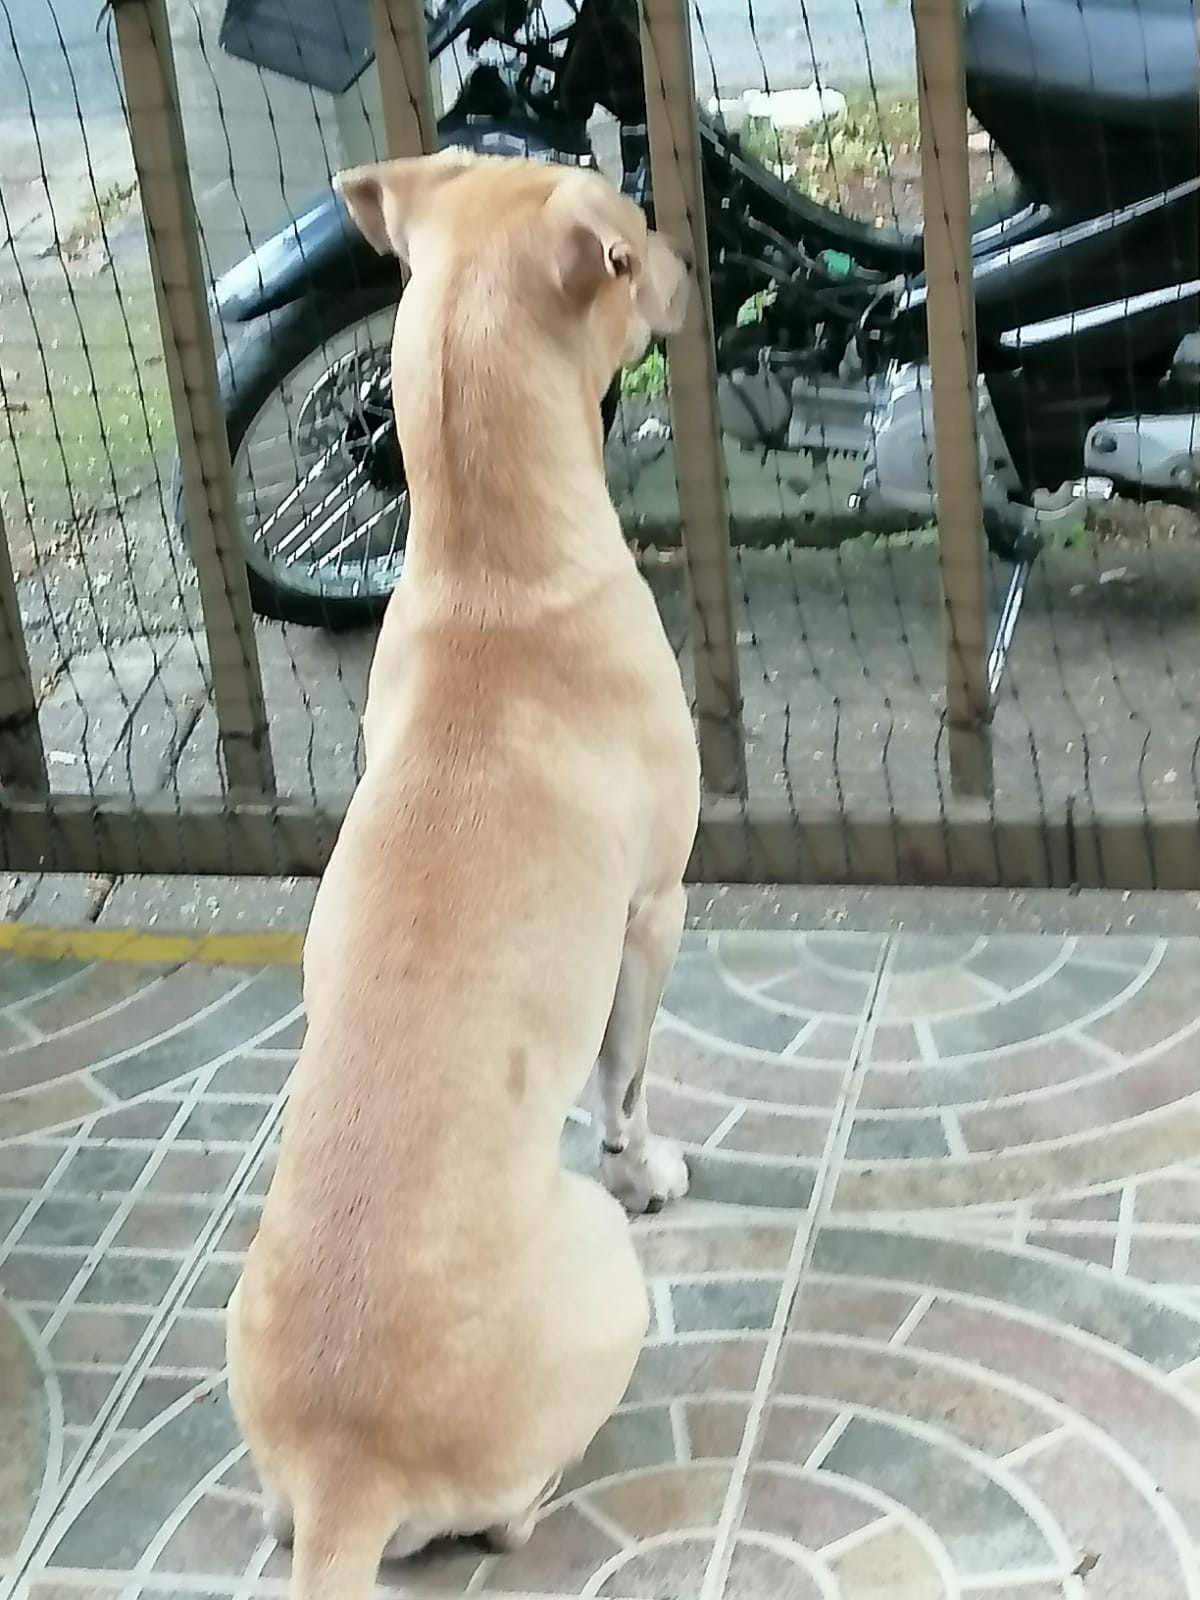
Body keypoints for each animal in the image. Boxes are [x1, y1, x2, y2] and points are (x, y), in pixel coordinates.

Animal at [226, 150, 700, 1600]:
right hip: (603, 1279)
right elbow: (626, 1077)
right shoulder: (653, 911)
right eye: (628, 242)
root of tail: (346, 1475)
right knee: (516, 1511)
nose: (694, 265)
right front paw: (649, 1161)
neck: (499, 570)